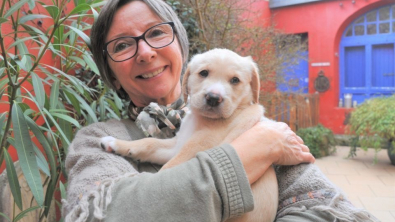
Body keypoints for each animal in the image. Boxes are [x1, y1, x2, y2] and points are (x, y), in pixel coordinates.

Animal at [100, 48, 278, 222]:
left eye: (235, 80)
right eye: (204, 73)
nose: (213, 98)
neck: (202, 119)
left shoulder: (195, 148)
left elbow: (168, 168)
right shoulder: (176, 145)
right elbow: (148, 143)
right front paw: (115, 143)